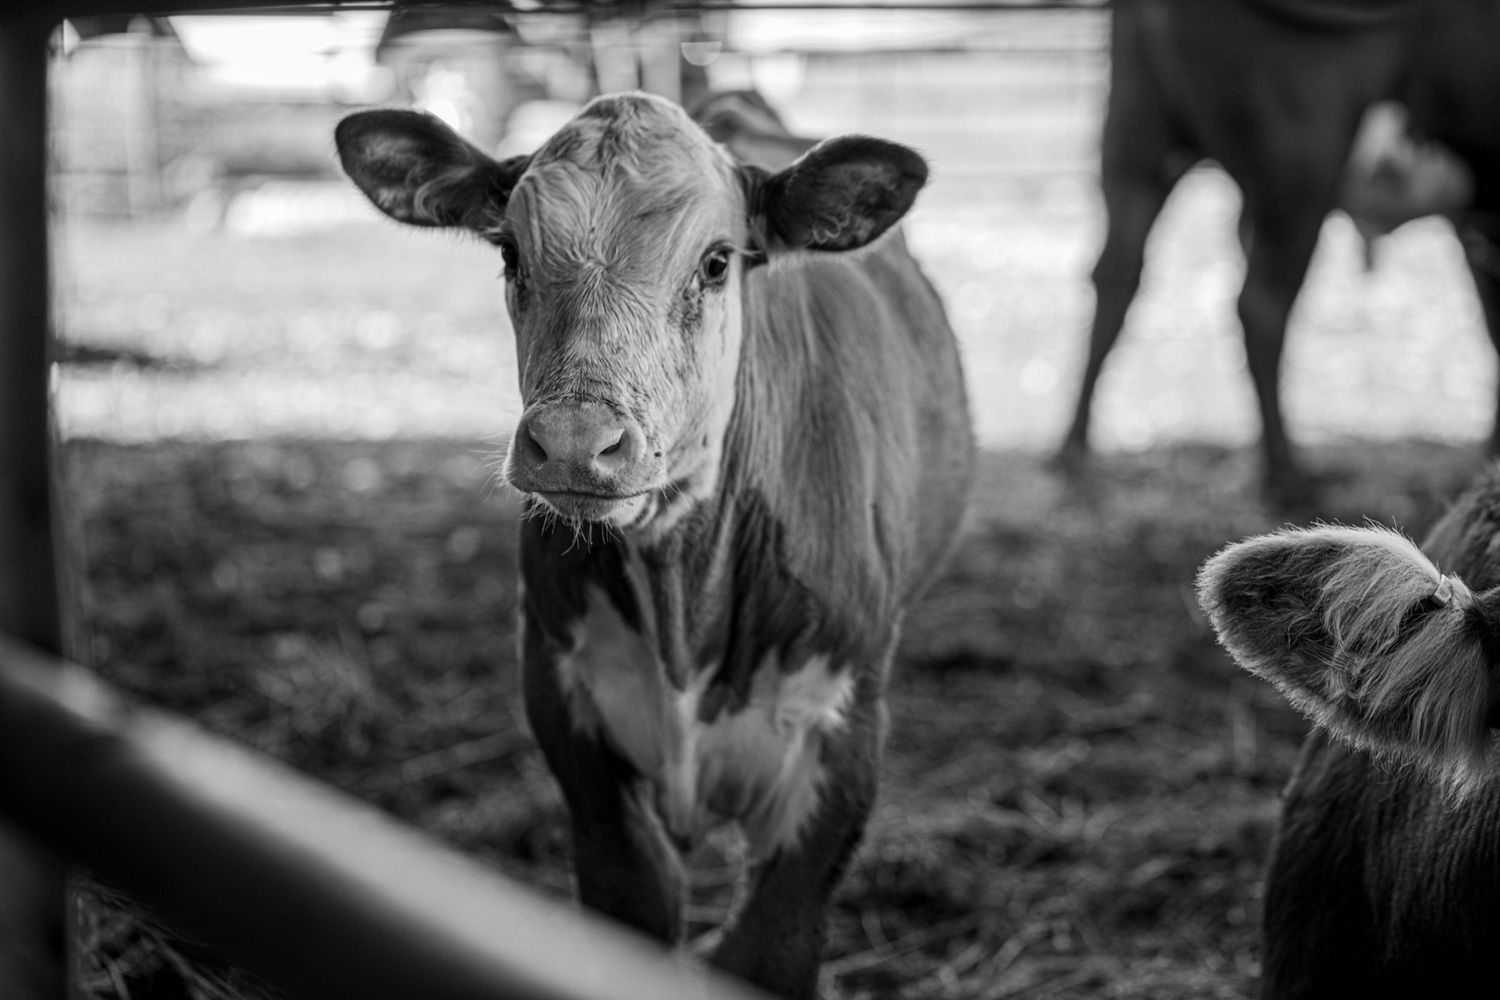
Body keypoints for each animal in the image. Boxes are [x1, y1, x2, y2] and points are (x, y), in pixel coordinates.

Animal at [333, 92, 974, 999]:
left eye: (716, 262)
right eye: (510, 251)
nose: (573, 441)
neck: (685, 619)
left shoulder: (839, 750)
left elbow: (766, 952)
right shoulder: (577, 739)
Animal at [1057, 0, 1500, 506]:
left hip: (1138, 143)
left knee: (1115, 274)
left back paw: (1072, 457)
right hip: (1298, 171)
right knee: (1262, 306)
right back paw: (1288, 481)